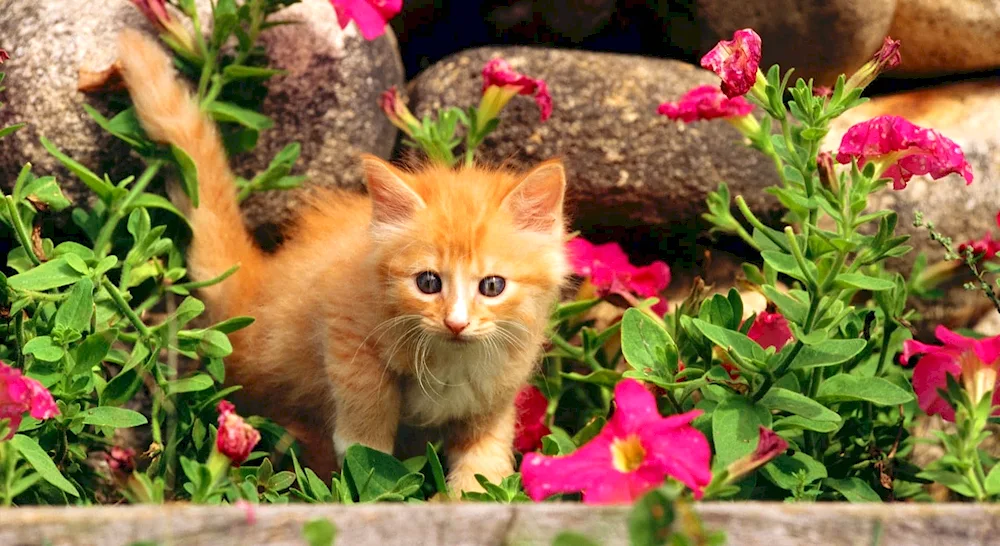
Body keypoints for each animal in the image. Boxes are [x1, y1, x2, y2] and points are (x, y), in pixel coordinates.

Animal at [115, 28, 572, 488]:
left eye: (492, 286)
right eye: (428, 283)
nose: (456, 323)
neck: (451, 358)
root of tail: (254, 288)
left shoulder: (498, 387)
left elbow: (484, 458)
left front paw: (474, 488)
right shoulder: (343, 318)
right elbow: (364, 387)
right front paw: (364, 452)